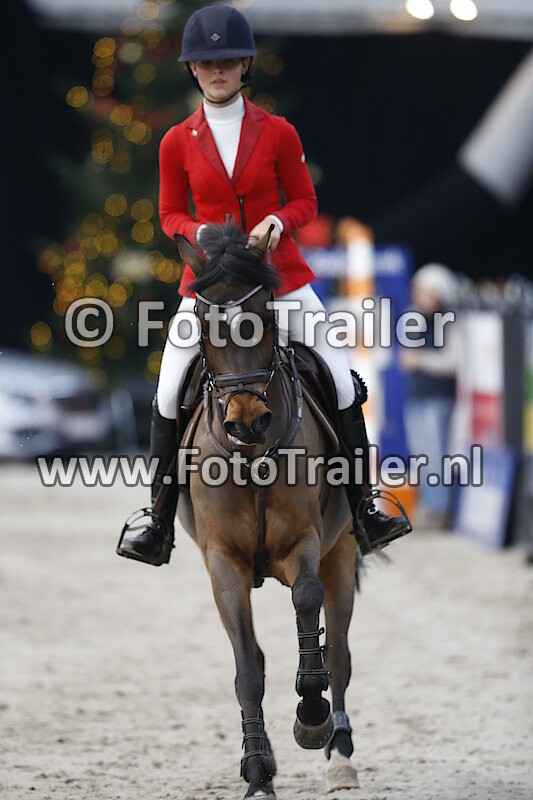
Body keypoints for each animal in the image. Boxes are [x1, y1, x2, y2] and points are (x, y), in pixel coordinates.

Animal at [173, 222, 361, 798]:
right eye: (203, 327)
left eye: (266, 320)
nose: (247, 422)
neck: (252, 457)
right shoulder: (223, 563)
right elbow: (247, 669)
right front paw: (257, 773)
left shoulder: (305, 542)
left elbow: (306, 602)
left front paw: (311, 717)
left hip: (341, 553)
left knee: (339, 650)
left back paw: (339, 753)